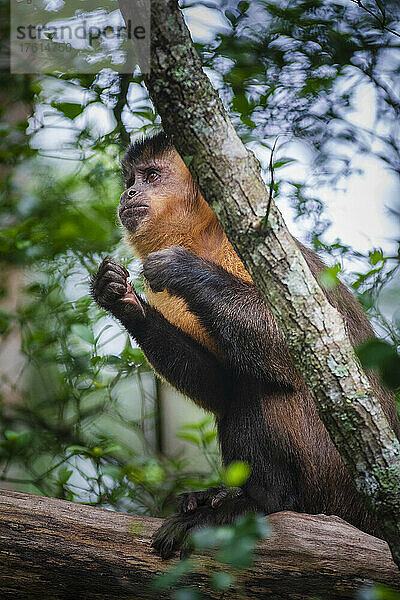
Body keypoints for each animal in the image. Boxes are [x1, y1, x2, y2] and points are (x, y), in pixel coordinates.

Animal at [90, 131, 400, 556]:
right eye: (131, 180)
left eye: (151, 176)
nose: (129, 192)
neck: (205, 239)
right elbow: (218, 385)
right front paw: (122, 300)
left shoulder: (252, 246)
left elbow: (305, 342)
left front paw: (186, 269)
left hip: (337, 481)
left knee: (265, 384)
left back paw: (264, 502)